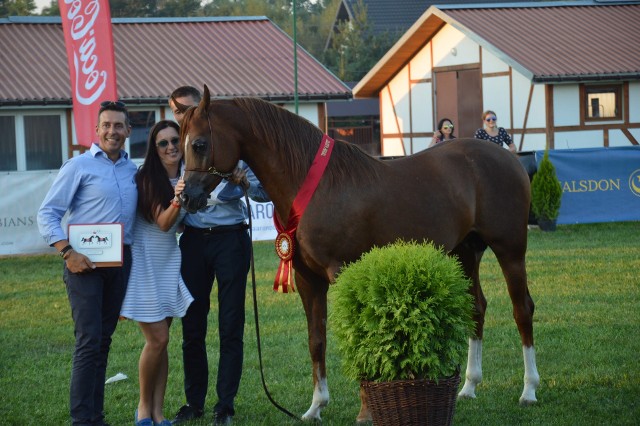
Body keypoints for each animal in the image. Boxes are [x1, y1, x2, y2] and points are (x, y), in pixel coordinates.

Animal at [178, 86, 536, 422]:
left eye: (199, 144)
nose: (186, 197)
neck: (316, 185)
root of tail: (508, 158)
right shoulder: (308, 280)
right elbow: (317, 339)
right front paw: (316, 407)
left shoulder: (342, 272)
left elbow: (356, 338)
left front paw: (365, 413)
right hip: (466, 252)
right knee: (477, 308)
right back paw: (469, 386)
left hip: (510, 250)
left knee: (522, 309)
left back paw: (529, 390)